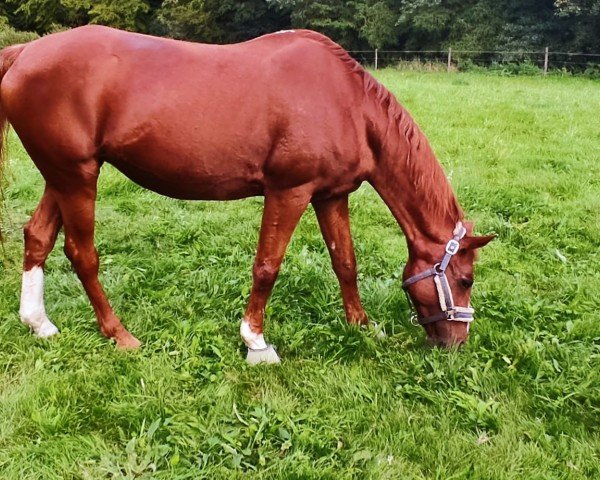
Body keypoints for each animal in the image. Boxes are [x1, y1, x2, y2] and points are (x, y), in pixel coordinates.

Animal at [0, 26, 492, 362]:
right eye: (465, 280)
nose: (457, 342)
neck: (346, 103)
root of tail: (25, 53)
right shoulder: (289, 192)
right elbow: (267, 267)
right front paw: (256, 341)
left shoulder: (331, 196)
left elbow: (345, 262)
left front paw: (361, 325)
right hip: (76, 177)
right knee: (82, 253)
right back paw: (119, 335)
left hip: (63, 176)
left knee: (37, 237)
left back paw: (39, 323)